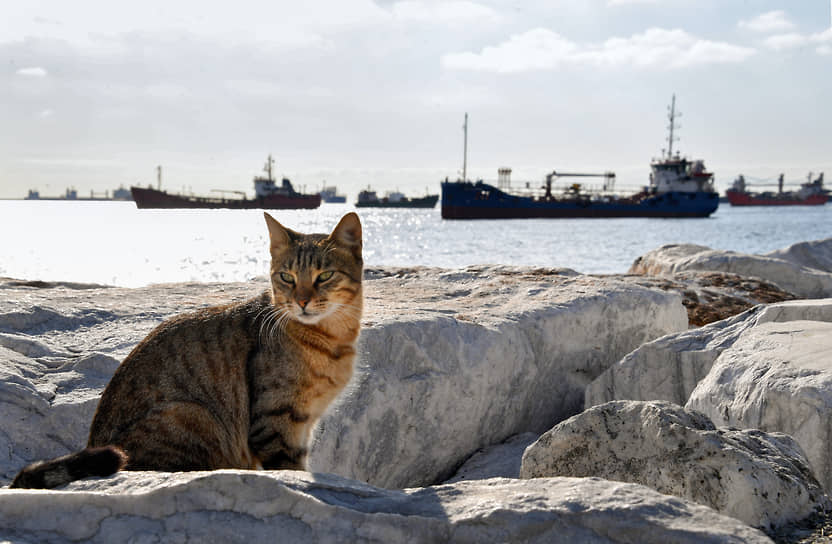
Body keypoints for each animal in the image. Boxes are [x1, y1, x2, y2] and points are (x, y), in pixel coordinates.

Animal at [8, 211, 360, 488]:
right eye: (286, 277)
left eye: (325, 276)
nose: (301, 301)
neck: (333, 338)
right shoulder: (275, 425)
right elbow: (291, 469)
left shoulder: (303, 427)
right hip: (193, 414)